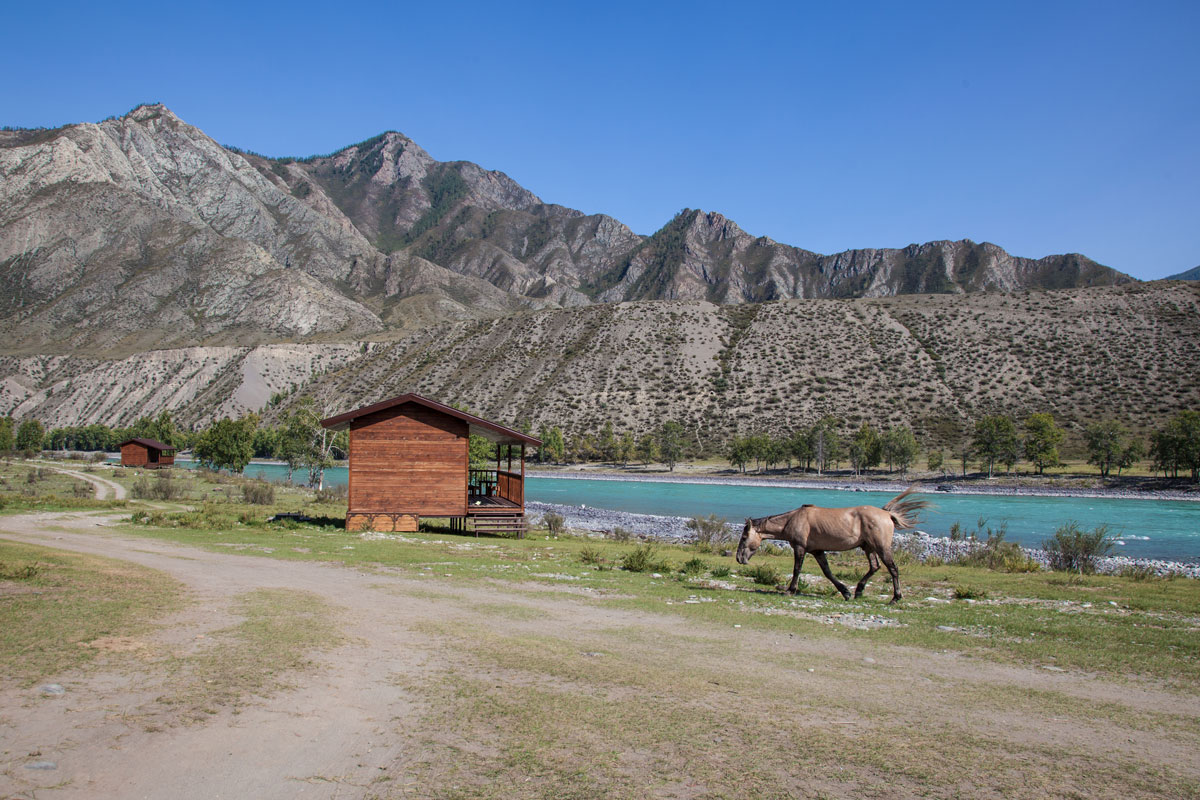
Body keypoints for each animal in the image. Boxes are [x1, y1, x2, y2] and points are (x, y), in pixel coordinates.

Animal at [729, 484, 926, 604]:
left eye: (744, 537)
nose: (739, 558)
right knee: (874, 567)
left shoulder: (800, 548)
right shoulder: (817, 551)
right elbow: (828, 572)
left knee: (893, 569)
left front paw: (790, 590)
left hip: (881, 547)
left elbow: (797, 569)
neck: (792, 520)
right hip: (868, 547)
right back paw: (858, 591)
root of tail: (887, 514)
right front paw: (845, 592)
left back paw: (895, 598)